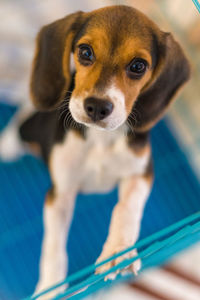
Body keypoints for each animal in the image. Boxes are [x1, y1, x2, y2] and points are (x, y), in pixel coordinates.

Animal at [19, 4, 191, 298]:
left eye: (138, 66)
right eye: (85, 52)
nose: (97, 107)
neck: (100, 140)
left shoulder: (140, 173)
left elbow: (125, 209)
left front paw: (118, 251)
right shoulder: (60, 193)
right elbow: (53, 246)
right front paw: (51, 288)